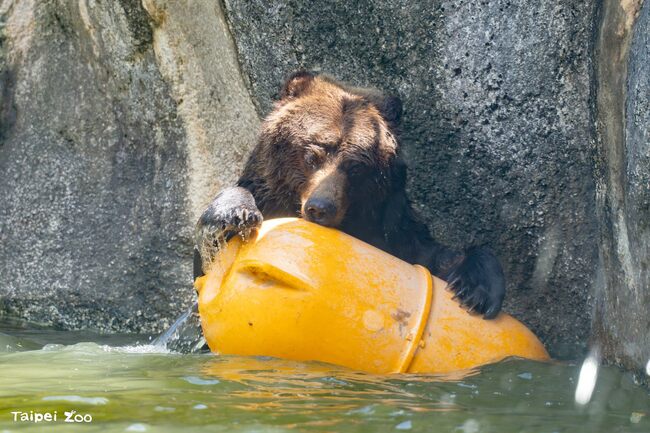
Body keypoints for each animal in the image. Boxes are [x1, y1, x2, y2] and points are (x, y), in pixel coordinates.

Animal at [194, 71, 505, 319]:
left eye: (355, 166)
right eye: (313, 154)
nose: (320, 207)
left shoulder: (393, 230)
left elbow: (437, 255)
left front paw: (476, 289)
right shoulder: (267, 192)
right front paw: (234, 214)